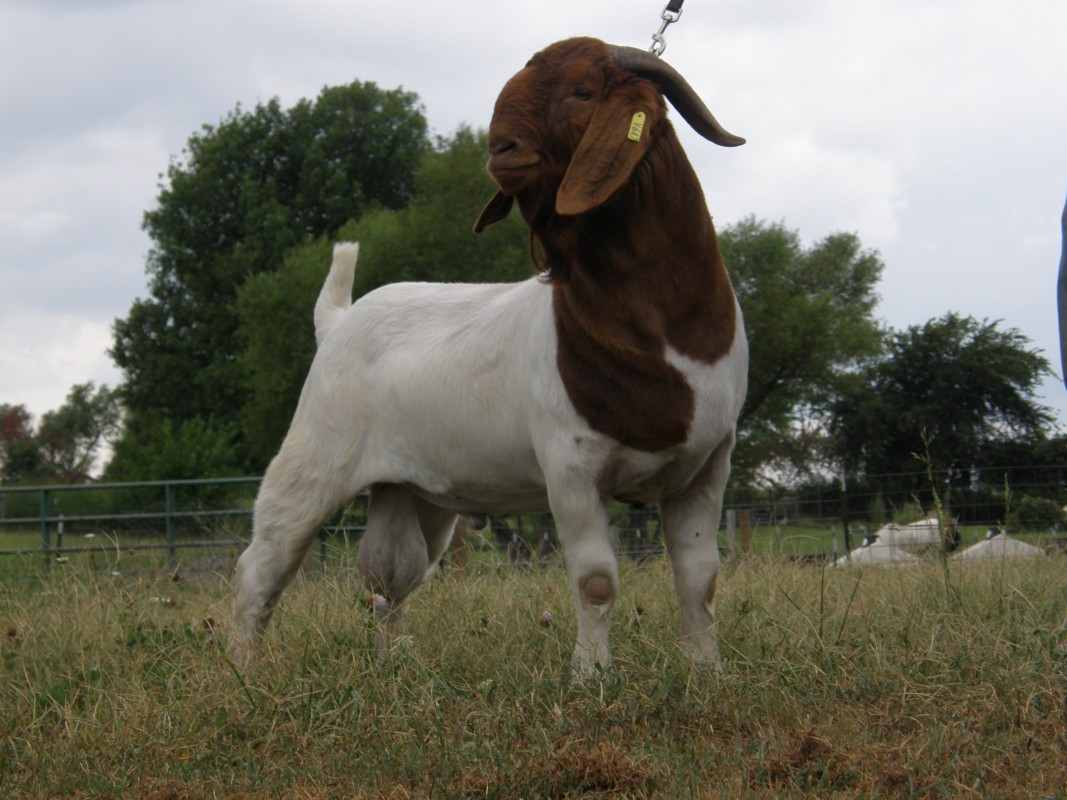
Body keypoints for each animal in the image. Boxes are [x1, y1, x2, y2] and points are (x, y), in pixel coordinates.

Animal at [230, 37, 748, 675]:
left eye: (583, 91)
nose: (500, 149)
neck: (663, 333)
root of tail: (338, 322)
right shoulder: (571, 468)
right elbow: (596, 580)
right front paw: (590, 677)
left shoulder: (708, 465)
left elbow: (700, 578)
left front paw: (706, 673)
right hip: (312, 461)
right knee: (264, 565)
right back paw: (241, 671)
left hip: (411, 492)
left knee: (390, 577)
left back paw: (391, 668)